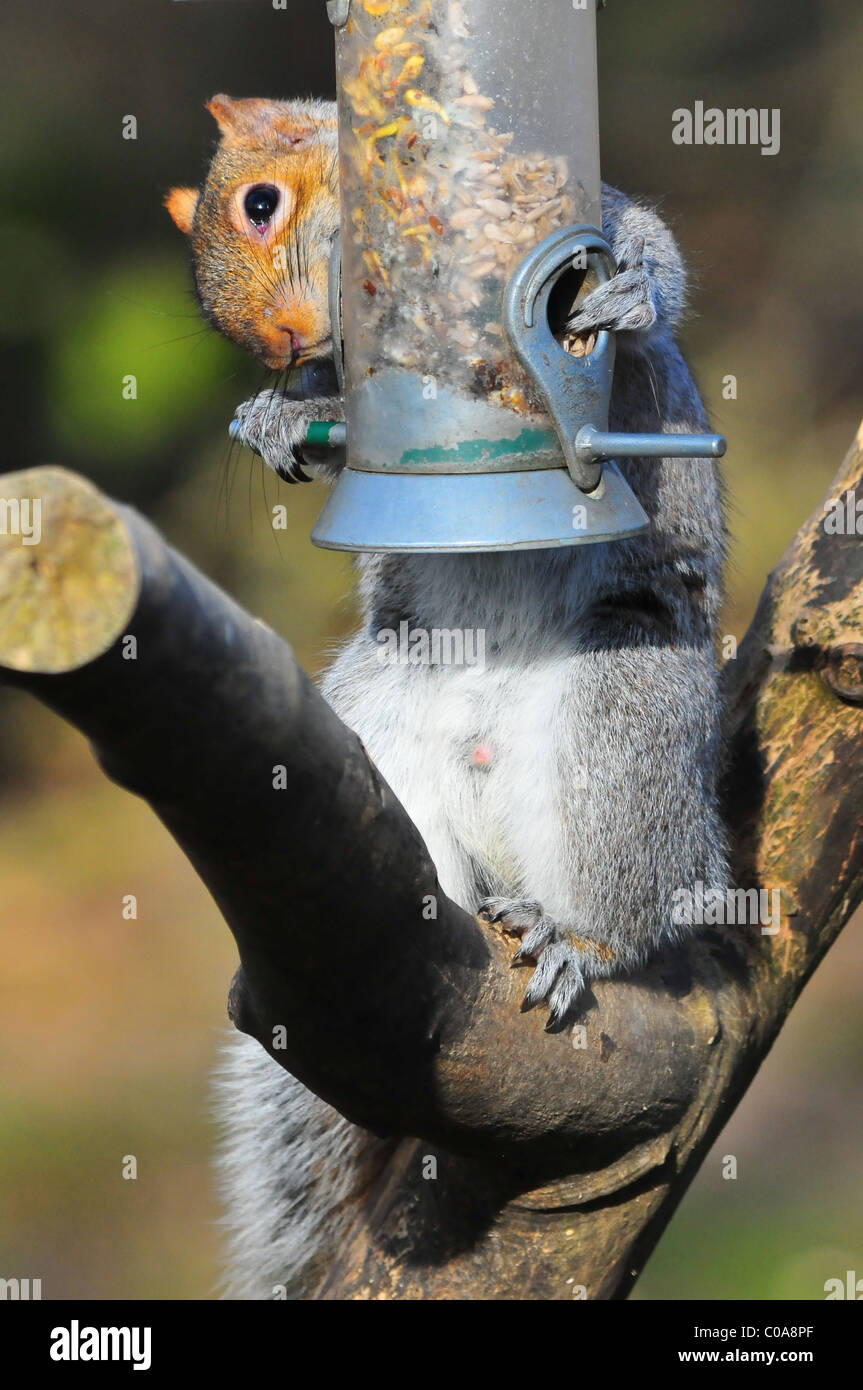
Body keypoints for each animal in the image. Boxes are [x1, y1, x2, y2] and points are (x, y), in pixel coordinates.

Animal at [167, 95, 730, 1299]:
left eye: (261, 202)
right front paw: (275, 417)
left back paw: (575, 937)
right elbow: (332, 416)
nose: (277, 344)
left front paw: (627, 291)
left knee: (630, 897)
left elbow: (647, 254)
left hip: (622, 715)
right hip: (386, 707)